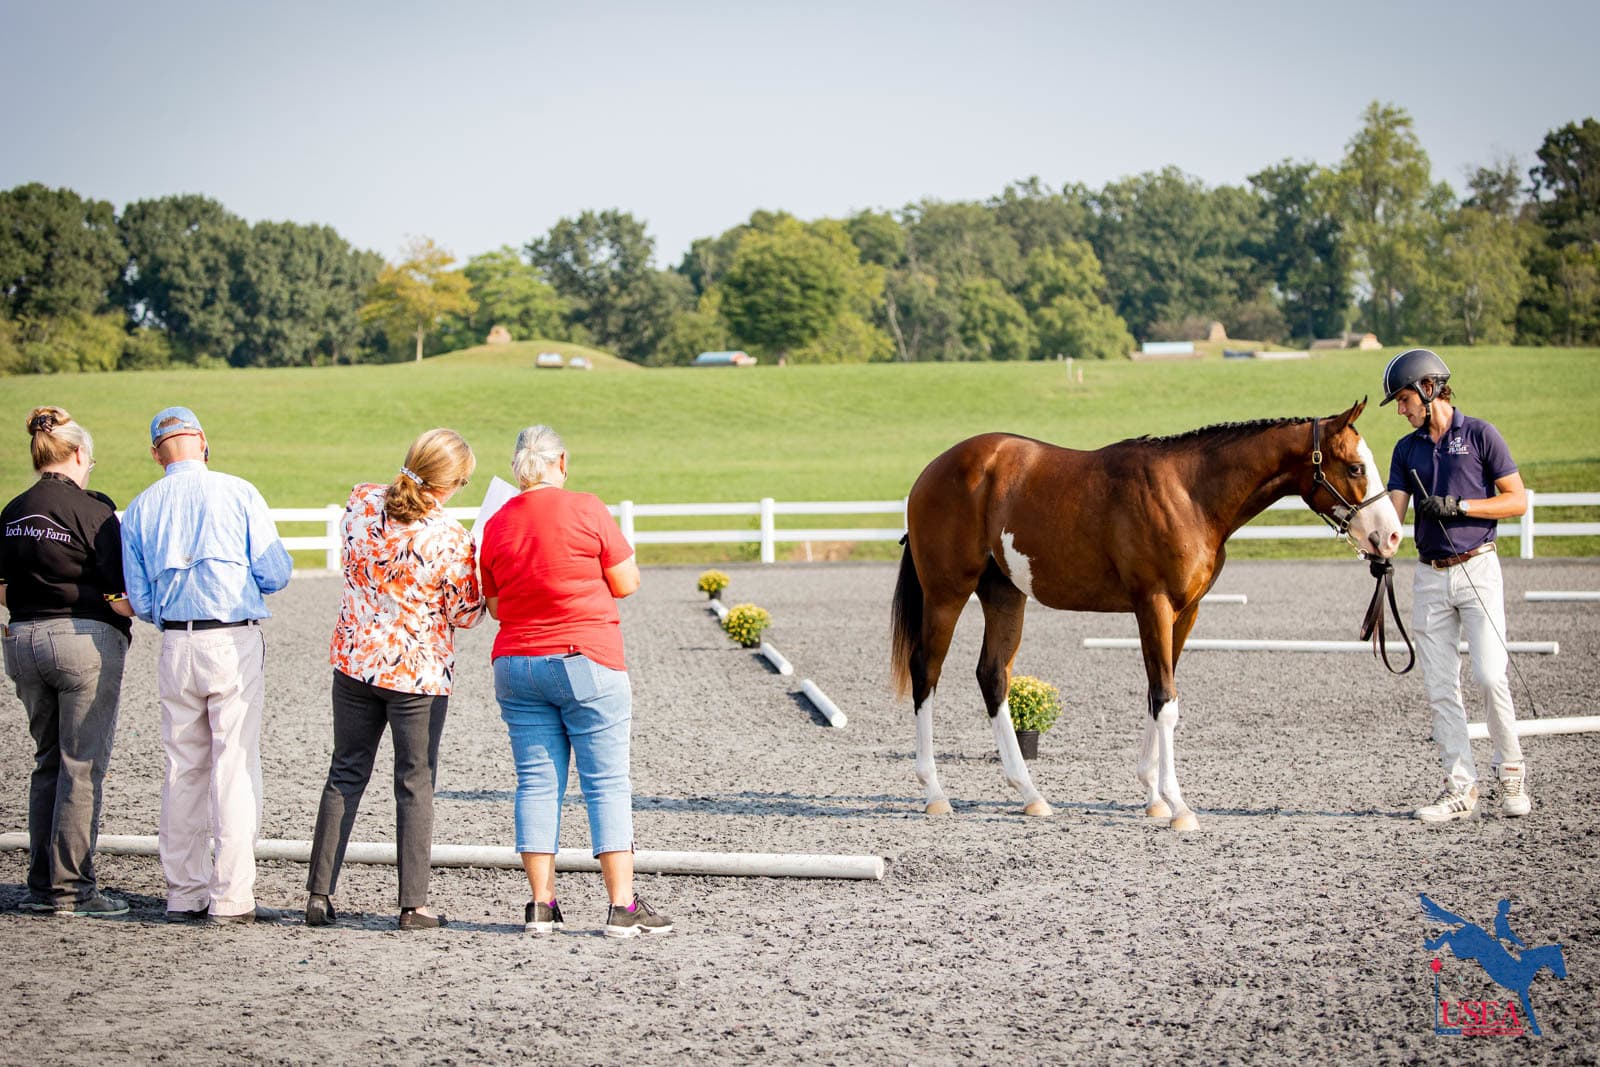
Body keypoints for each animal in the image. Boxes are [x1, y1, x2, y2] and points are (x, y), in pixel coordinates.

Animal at [889, 399, 1403, 831]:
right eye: (1355, 467)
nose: (1391, 536)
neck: (1190, 494)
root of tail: (931, 472)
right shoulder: (1152, 605)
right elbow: (1165, 700)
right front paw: (1178, 806)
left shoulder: (1185, 612)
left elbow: (1160, 694)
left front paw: (1154, 797)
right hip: (947, 594)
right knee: (926, 673)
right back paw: (935, 793)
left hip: (1005, 597)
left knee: (993, 676)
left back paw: (1031, 794)